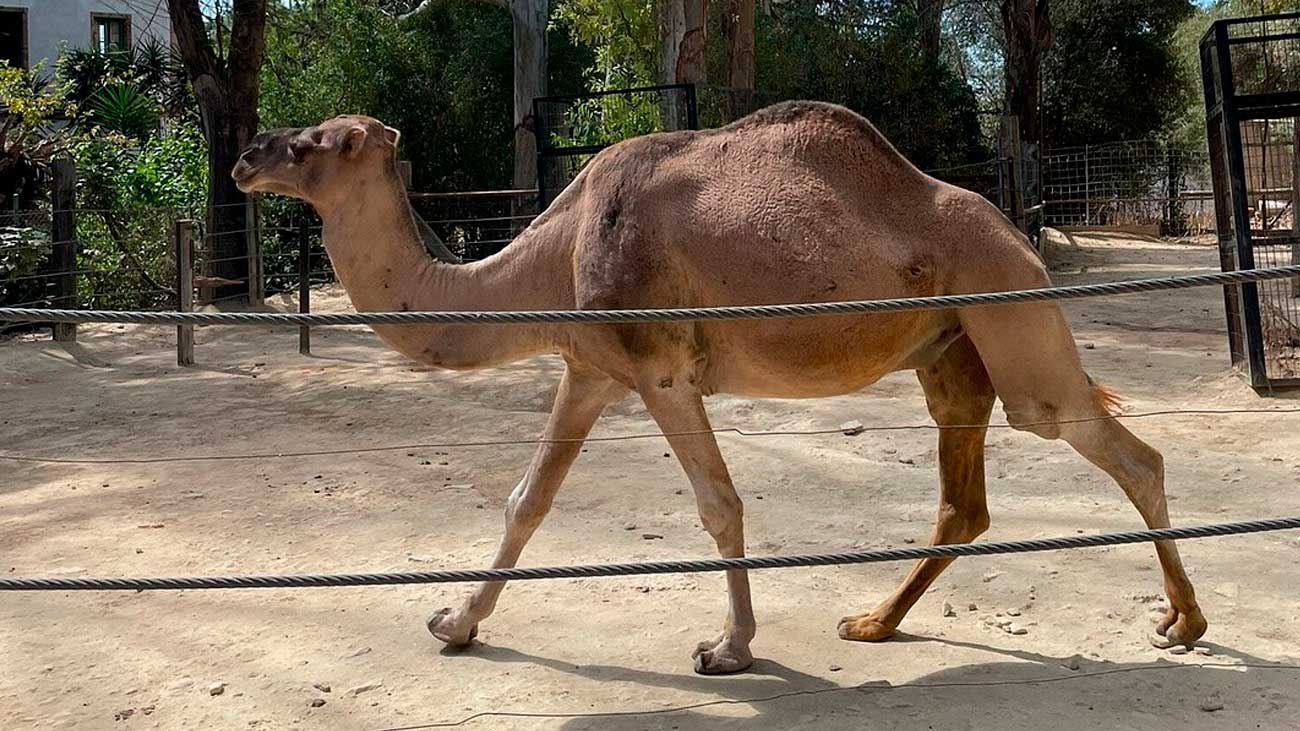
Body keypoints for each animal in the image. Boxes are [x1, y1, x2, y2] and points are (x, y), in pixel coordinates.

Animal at [231, 102, 1206, 675]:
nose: (245, 154)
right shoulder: (591, 368)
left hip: (1011, 314)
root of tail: (1016, 232)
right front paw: (455, 623)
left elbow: (718, 503)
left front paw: (728, 646)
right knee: (964, 501)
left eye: (326, 141)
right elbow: (525, 500)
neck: (554, 250)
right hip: (949, 349)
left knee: (1125, 450)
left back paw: (1184, 622)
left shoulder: (661, 369)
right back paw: (872, 623)